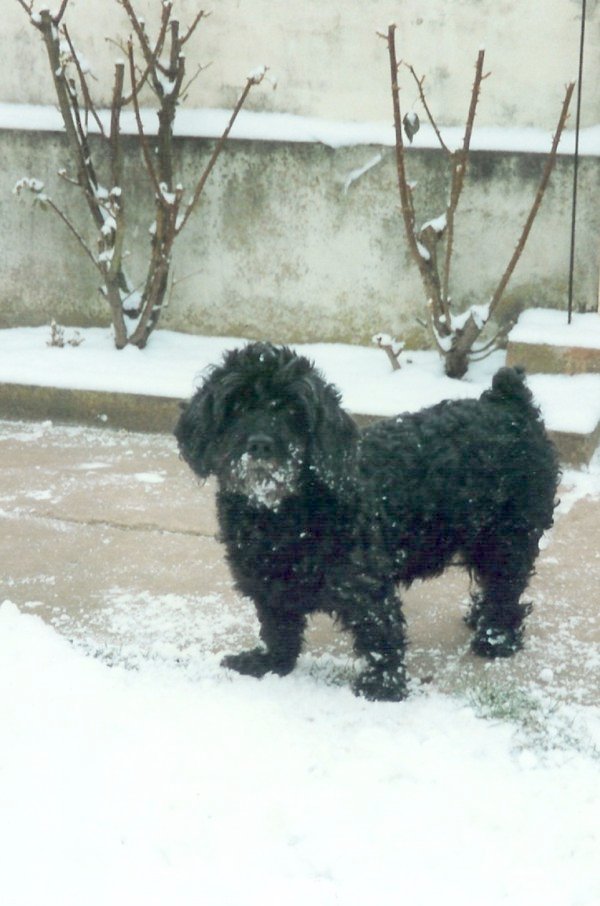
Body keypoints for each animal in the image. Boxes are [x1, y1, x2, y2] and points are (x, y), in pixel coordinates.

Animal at [176, 340, 560, 700]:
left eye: (292, 409)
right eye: (236, 406)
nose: (259, 444)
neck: (284, 516)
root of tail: (509, 403)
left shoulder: (366, 586)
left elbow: (381, 637)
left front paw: (382, 688)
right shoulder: (268, 585)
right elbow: (277, 627)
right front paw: (269, 663)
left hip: (508, 537)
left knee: (504, 588)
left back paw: (496, 639)